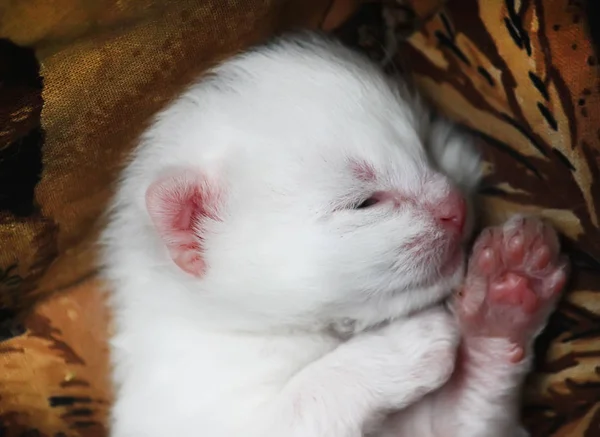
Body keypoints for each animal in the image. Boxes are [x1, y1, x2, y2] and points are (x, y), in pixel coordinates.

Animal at [102, 31, 568, 436]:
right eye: (364, 203)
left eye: (428, 149)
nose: (456, 206)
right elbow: (304, 398)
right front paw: (403, 349)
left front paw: (505, 296)